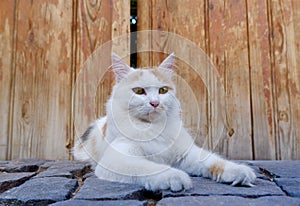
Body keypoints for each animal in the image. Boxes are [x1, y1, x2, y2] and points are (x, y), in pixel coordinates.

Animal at [73, 53, 255, 192]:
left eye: (163, 90)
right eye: (139, 91)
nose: (155, 103)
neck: (154, 128)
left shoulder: (187, 154)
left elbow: (214, 161)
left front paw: (239, 171)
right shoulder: (117, 159)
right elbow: (148, 167)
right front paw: (175, 177)